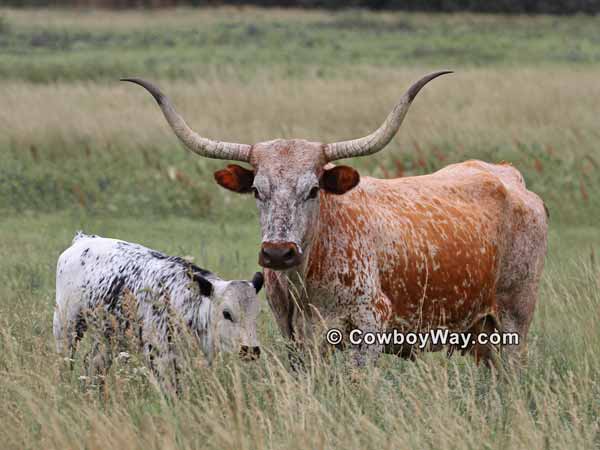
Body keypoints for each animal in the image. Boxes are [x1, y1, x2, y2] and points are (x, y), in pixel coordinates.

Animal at [54, 232, 262, 390]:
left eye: (256, 315)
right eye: (227, 313)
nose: (251, 350)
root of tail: (83, 239)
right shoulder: (158, 356)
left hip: (106, 336)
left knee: (94, 364)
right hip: (66, 326)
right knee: (65, 361)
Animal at [124, 72, 552, 368]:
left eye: (314, 189)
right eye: (257, 191)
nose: (278, 253)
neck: (310, 276)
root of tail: (507, 174)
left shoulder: (369, 325)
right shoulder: (293, 333)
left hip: (515, 316)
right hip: (480, 332)